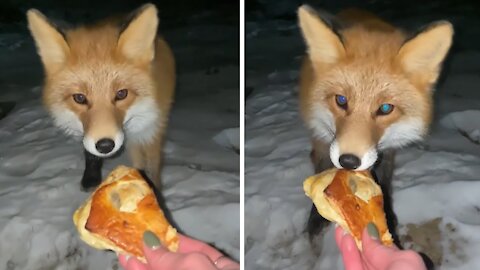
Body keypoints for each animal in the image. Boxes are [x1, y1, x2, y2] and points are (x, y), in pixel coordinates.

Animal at [25, 3, 174, 190]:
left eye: (121, 94)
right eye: (79, 98)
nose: (105, 146)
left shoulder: (150, 131)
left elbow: (151, 166)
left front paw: (152, 189)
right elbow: (90, 152)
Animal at [296, 4, 454, 260]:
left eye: (385, 109)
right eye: (341, 101)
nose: (349, 161)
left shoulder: (386, 150)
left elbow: (385, 182)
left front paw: (387, 216)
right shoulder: (322, 140)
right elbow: (321, 172)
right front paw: (316, 223)